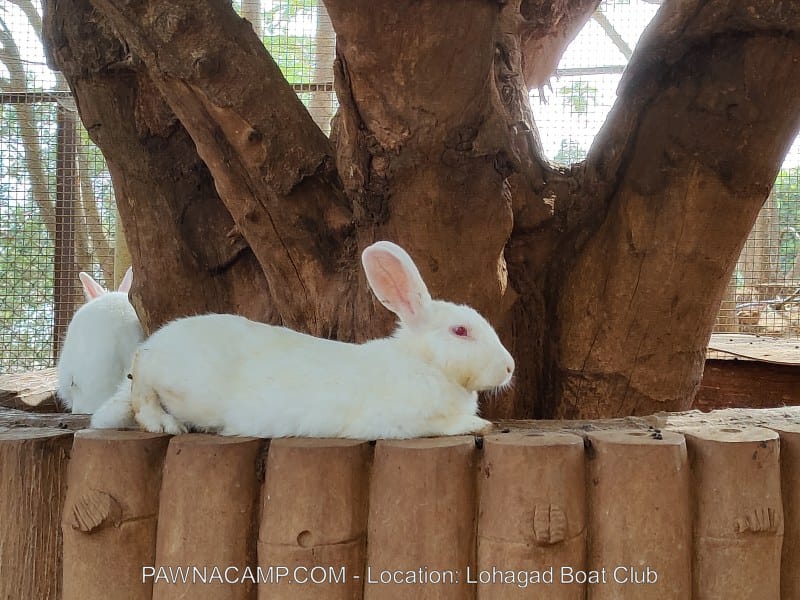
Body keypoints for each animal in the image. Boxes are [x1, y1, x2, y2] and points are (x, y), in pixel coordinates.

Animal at [95, 241, 514, 439]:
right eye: (460, 331)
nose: (510, 367)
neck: (425, 364)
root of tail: (159, 342)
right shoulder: (398, 421)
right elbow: (445, 424)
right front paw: (478, 425)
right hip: (180, 382)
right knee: (141, 377)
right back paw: (163, 424)